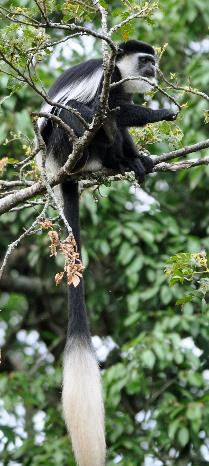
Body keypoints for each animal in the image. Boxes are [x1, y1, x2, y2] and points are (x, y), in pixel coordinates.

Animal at [38, 40, 177, 466]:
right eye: (145, 60)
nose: (153, 70)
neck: (118, 70)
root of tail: (59, 169)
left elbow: (121, 116)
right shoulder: (106, 81)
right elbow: (111, 109)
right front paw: (163, 112)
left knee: (112, 131)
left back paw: (130, 161)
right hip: (63, 141)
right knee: (79, 115)